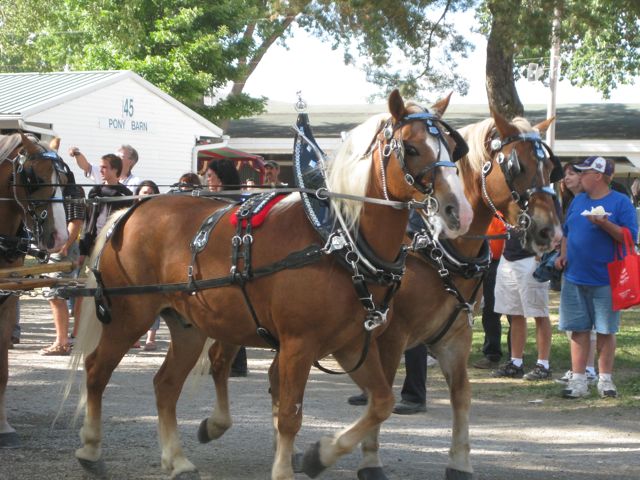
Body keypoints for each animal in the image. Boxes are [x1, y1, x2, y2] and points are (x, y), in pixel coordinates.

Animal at [68, 90, 472, 480]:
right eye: (412, 148)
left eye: (452, 149)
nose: (459, 211)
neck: (337, 240)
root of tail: (131, 211)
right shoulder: (298, 344)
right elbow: (290, 413)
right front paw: (287, 467)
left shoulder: (350, 343)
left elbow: (382, 402)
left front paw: (319, 455)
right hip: (130, 316)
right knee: (97, 371)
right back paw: (89, 449)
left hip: (187, 326)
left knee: (165, 385)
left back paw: (177, 460)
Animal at [207, 109, 563, 479]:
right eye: (516, 166)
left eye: (551, 169)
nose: (549, 231)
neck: (433, 246)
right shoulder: (391, 336)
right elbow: (384, 396)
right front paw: (369, 460)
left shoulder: (455, 336)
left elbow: (461, 395)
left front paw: (460, 462)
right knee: (221, 360)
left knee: (271, 376)